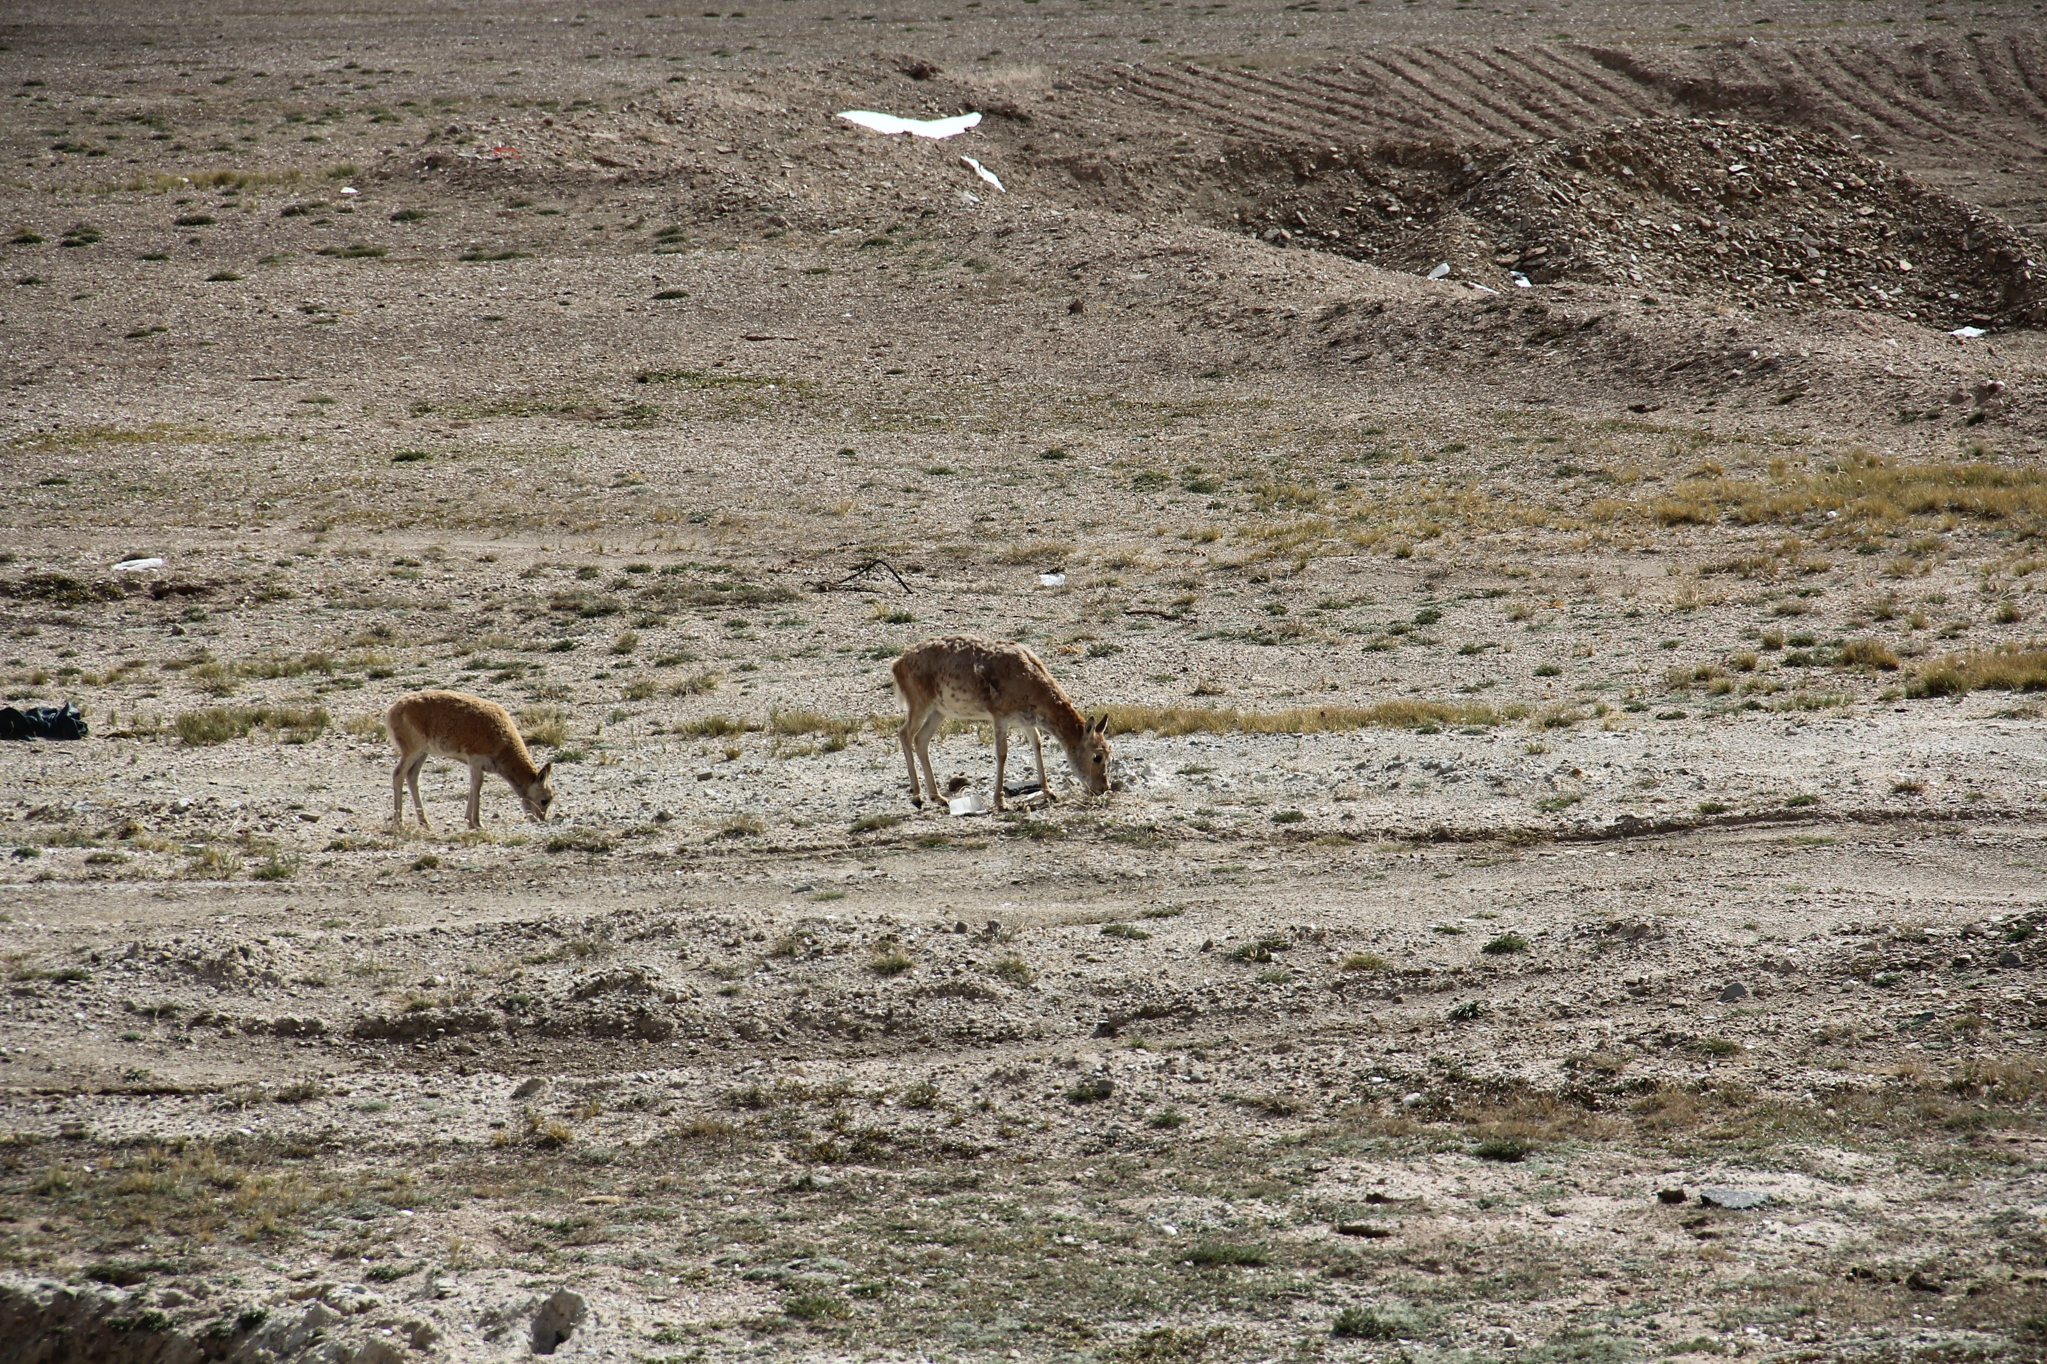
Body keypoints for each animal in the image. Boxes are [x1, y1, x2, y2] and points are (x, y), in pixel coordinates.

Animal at [384, 692, 556, 827]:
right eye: (545, 800)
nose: (540, 819)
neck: (503, 739)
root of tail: (393, 710)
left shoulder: (474, 765)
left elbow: (473, 785)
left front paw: (469, 821)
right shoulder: (475, 760)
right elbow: (477, 784)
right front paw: (478, 823)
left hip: (422, 753)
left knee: (412, 776)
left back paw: (425, 823)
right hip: (412, 751)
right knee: (398, 774)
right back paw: (399, 822)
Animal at [896, 630, 1121, 806]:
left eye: (1110, 752)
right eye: (1097, 756)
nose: (1103, 788)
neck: (1032, 687)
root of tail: (897, 664)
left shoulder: (1026, 721)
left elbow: (1037, 743)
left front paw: (1049, 792)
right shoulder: (1000, 715)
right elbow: (1002, 753)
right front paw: (1000, 801)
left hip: (940, 710)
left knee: (921, 739)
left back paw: (937, 797)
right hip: (919, 702)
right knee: (905, 733)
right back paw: (917, 796)